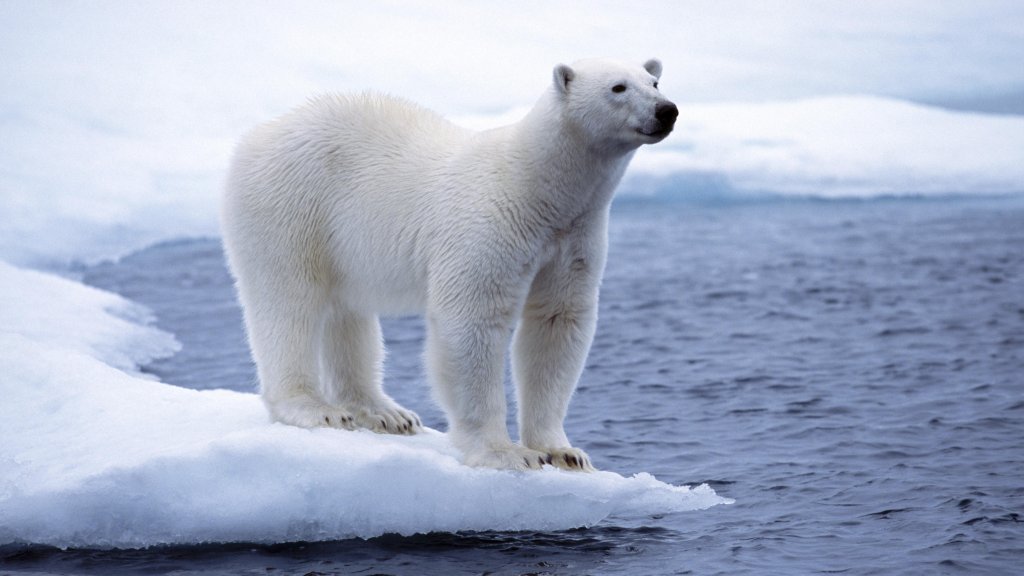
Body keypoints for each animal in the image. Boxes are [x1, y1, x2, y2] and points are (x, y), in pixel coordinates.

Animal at [221, 58, 677, 471]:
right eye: (618, 87)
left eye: (654, 81)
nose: (667, 110)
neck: (539, 188)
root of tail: (258, 134)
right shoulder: (490, 225)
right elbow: (472, 321)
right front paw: (506, 453)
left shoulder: (573, 238)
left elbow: (556, 322)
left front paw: (565, 452)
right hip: (291, 204)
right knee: (289, 301)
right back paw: (315, 408)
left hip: (341, 242)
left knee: (347, 313)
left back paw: (385, 412)